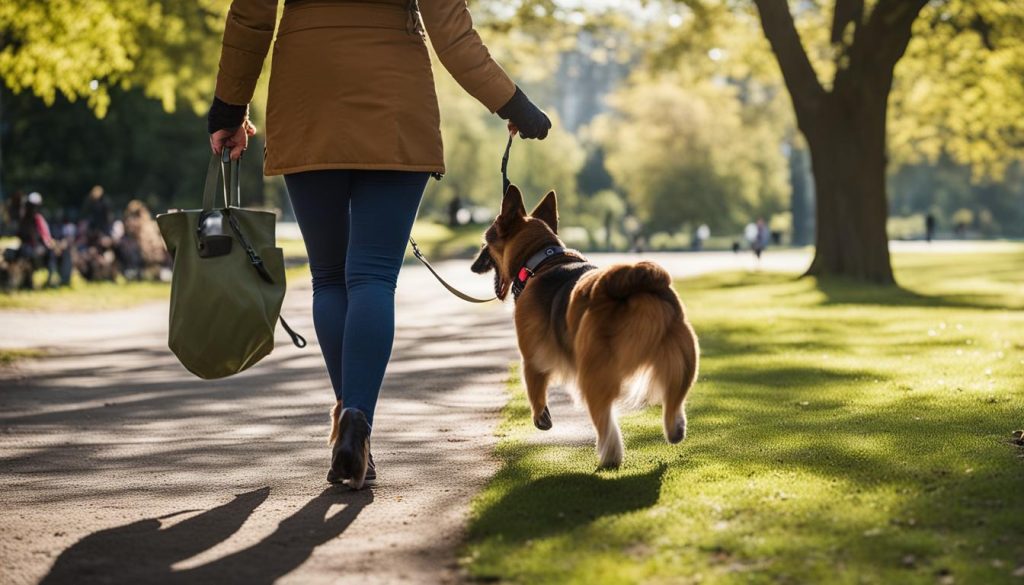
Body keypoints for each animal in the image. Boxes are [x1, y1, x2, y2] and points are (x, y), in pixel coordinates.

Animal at [468, 185, 696, 469]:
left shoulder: (530, 358)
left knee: (606, 422)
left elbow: (535, 389)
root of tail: (630, 282)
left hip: (593, 373)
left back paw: (610, 455)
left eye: (485, 243)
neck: (539, 261)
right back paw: (674, 429)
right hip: (683, 362)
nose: (473, 264)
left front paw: (541, 417)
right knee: (674, 404)